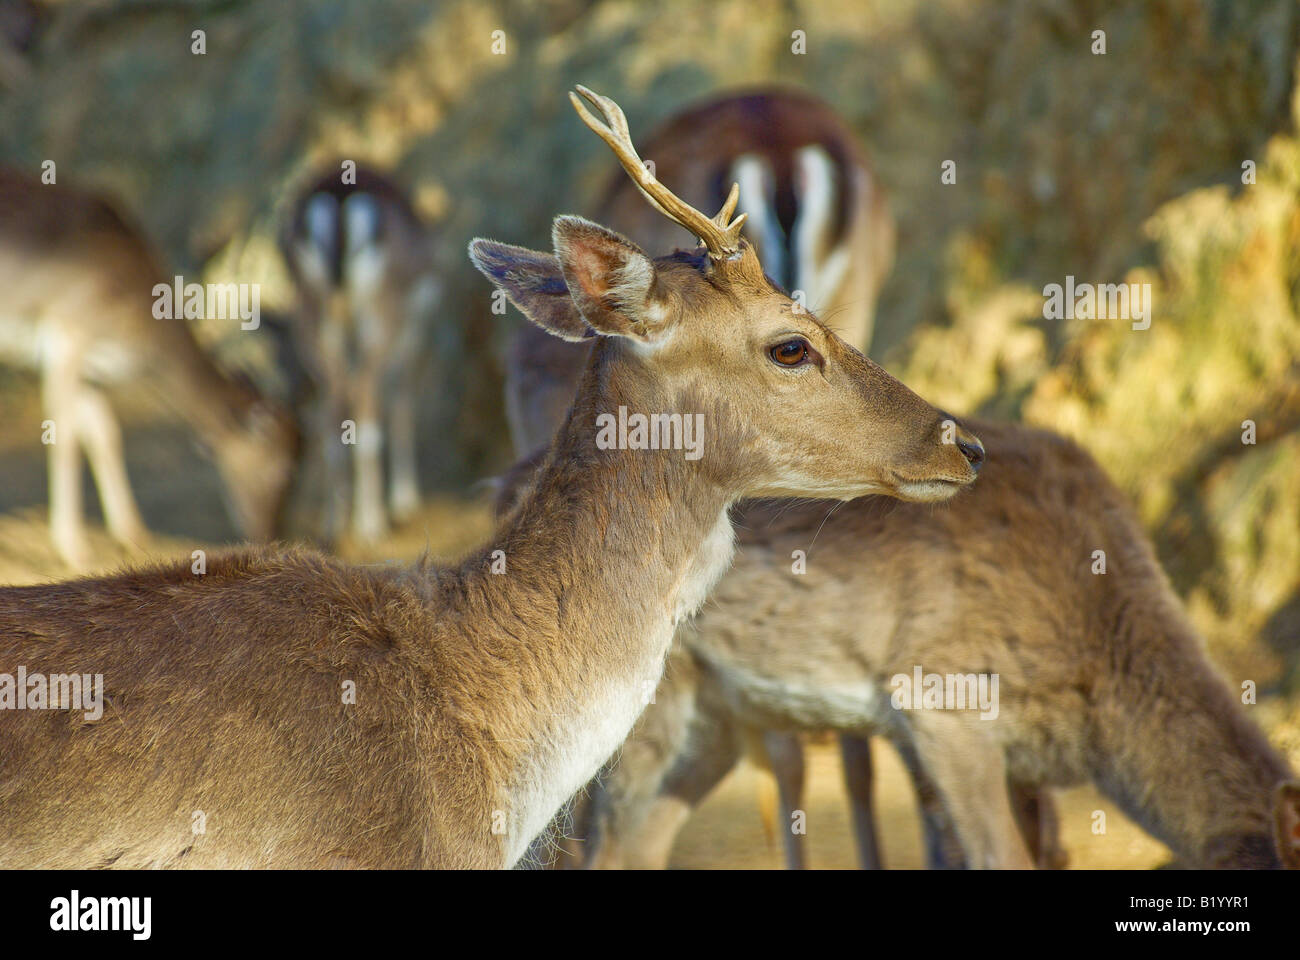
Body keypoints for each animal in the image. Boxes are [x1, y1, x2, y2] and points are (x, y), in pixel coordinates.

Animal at [0, 166, 299, 567]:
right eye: (281, 472)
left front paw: (133, 535)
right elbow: (64, 435)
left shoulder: (92, 369)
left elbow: (104, 431)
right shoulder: (67, 333)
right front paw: (74, 549)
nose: (269, 531)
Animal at [276, 161, 439, 541]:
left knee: (334, 399)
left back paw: (335, 524)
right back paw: (371, 523)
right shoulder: (417, 332)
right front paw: (405, 503)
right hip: (382, 319)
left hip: (311, 317)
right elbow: (402, 401)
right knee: (364, 391)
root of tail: (339, 200)